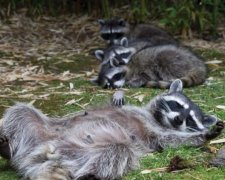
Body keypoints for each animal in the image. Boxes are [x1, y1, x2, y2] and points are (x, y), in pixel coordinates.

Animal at [0, 80, 223, 180]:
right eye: (177, 105)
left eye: (190, 119)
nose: (177, 119)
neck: (156, 118)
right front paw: (118, 94)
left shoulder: (154, 134)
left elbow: (169, 139)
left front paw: (203, 135)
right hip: (41, 130)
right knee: (21, 111)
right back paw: (6, 145)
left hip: (95, 150)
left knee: (115, 153)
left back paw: (90, 173)